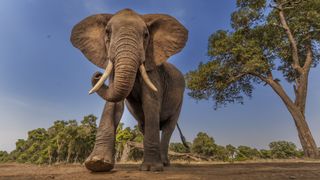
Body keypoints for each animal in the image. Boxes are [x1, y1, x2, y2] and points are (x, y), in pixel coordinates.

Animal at [70, 8, 188, 172]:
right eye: (107, 32)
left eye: (146, 35)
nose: (97, 74)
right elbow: (113, 104)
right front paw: (97, 164)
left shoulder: (153, 70)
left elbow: (150, 103)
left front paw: (151, 168)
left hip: (180, 101)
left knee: (168, 127)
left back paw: (164, 163)